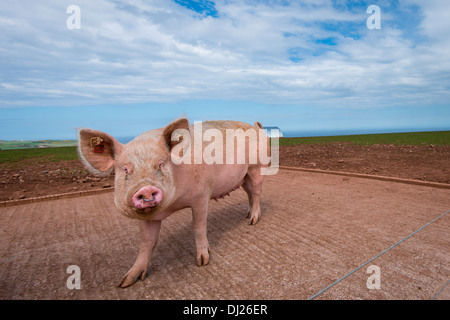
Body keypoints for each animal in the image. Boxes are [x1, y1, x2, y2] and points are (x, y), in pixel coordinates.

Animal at [77, 117, 268, 288]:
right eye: (125, 169)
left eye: (161, 164)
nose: (145, 189)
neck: (174, 204)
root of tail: (257, 127)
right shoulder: (149, 217)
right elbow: (147, 242)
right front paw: (125, 282)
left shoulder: (201, 195)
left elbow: (199, 227)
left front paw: (203, 261)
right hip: (243, 177)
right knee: (250, 194)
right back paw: (247, 215)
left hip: (257, 168)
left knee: (257, 193)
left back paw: (253, 221)